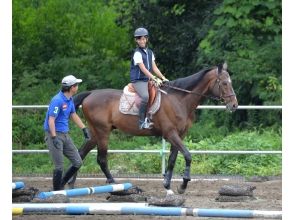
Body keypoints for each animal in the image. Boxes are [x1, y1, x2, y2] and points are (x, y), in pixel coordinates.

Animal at [66, 62, 237, 194]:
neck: (179, 100)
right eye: (224, 83)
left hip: (95, 133)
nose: (234, 105)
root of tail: (90, 94)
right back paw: (115, 185)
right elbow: (188, 155)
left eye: (230, 82)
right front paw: (183, 185)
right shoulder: (171, 134)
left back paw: (71, 185)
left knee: (81, 153)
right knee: (101, 159)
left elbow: (172, 160)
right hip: (103, 132)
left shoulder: (179, 135)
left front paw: (168, 185)